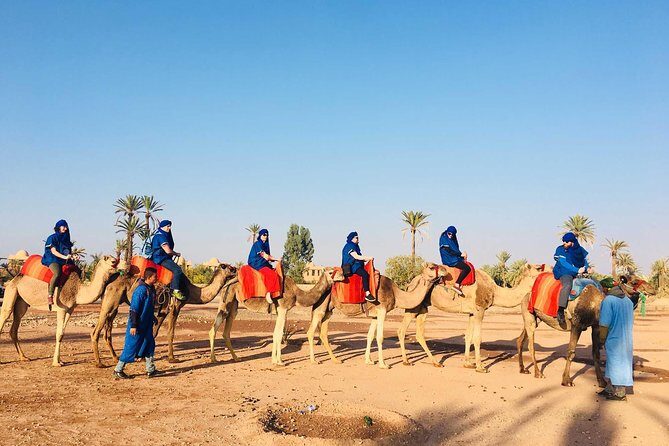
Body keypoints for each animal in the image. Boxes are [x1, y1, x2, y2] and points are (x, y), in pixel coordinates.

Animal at [90, 263, 237, 366]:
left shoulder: (163, 311)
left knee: (107, 331)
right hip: (110, 301)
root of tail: (109, 280)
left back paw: (115, 358)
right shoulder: (175, 307)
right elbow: (171, 332)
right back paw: (99, 363)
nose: (236, 270)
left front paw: (141, 356)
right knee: (96, 330)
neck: (192, 291)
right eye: (227, 266)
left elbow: (154, 332)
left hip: (115, 304)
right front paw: (172, 358)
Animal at [208, 267, 342, 366]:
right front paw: (280, 362)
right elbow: (278, 334)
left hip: (233, 304)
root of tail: (226, 283)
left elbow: (275, 333)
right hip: (227, 301)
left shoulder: (279, 310)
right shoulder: (283, 308)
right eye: (331, 272)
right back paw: (214, 359)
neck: (297, 294)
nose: (342, 275)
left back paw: (236, 358)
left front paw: (275, 360)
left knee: (226, 329)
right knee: (215, 327)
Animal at [307, 263, 446, 369]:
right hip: (321, 305)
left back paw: (335, 360)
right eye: (432, 267)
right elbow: (379, 337)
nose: (444, 270)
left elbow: (370, 336)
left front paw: (369, 361)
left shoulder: (375, 315)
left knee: (323, 332)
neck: (396, 294)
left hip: (329, 309)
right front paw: (383, 364)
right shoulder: (382, 310)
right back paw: (314, 361)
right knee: (311, 331)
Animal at [397, 263, 546, 372]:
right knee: (402, 330)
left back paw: (435, 363)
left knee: (419, 333)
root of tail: (411, 283)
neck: (494, 291)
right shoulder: (480, 310)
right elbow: (477, 338)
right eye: (539, 268)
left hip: (423, 307)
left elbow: (468, 336)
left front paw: (468, 363)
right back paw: (406, 361)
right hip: (414, 306)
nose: (549, 270)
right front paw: (480, 367)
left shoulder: (472, 313)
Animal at [516, 274, 654, 387]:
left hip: (534, 318)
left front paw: (602, 382)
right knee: (531, 345)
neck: (596, 304)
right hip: (529, 316)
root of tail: (525, 296)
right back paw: (538, 373)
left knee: (520, 340)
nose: (652, 288)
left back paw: (523, 369)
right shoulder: (577, 324)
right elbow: (571, 352)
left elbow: (596, 354)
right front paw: (566, 380)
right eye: (635, 281)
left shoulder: (596, 326)